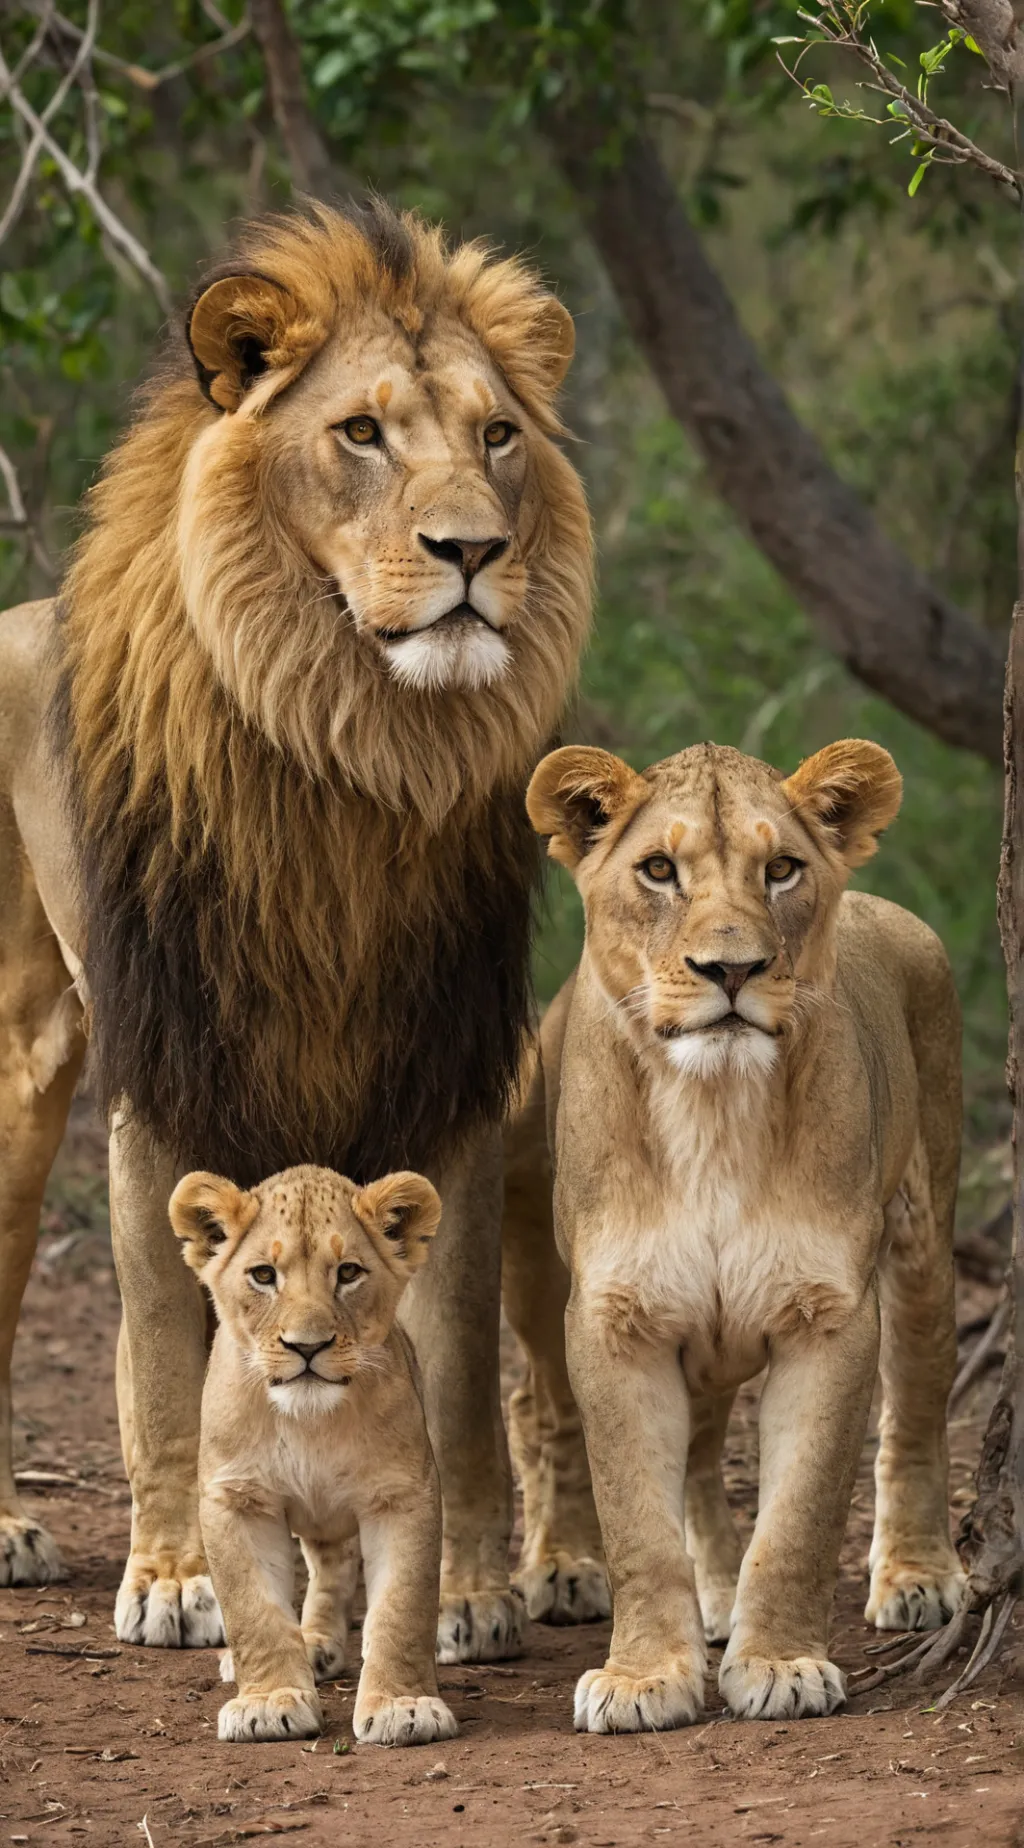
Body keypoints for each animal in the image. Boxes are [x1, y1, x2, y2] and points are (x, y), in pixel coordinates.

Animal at [0, 199, 600, 1661]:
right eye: (361, 432)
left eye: (498, 435)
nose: (472, 553)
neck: (349, 749)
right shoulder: (169, 1070)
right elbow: (167, 1354)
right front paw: (177, 1579)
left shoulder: (448, 1072)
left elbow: (456, 1370)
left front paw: (470, 1590)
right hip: (24, 1058)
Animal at [170, 1161, 457, 1747]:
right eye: (263, 1275)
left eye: (348, 1272)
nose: (307, 1346)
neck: (310, 1426)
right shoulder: (237, 1499)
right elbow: (253, 1609)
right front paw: (268, 1701)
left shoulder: (404, 1494)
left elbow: (403, 1607)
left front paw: (404, 1706)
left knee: (336, 1568)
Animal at [501, 736, 965, 1731]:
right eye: (658, 871)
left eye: (781, 869)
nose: (733, 970)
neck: (713, 1108)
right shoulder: (616, 1318)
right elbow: (638, 1519)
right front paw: (645, 1677)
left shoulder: (831, 1317)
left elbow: (799, 1517)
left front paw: (781, 1664)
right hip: (540, 1270)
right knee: (547, 1409)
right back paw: (581, 1573)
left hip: (924, 1240)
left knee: (914, 1406)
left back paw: (914, 1575)